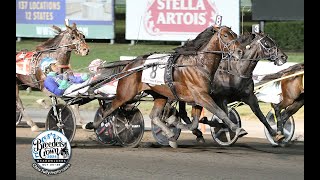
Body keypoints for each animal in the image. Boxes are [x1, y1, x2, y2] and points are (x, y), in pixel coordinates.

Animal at [84, 26, 245, 148]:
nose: (240, 51)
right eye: (225, 35)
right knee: (109, 109)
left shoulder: (198, 99)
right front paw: (237, 129)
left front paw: (178, 125)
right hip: (126, 93)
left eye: (235, 35)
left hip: (159, 95)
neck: (198, 64)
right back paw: (93, 124)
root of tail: (130, 65)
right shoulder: (201, 96)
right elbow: (220, 112)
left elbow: (193, 123)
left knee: (154, 116)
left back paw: (170, 135)